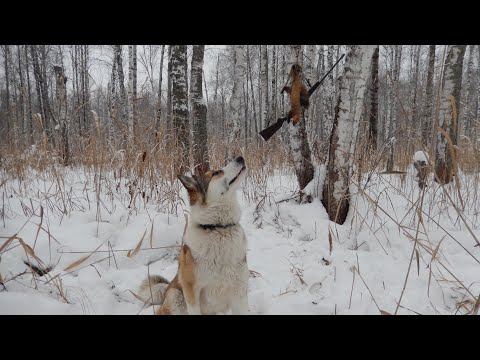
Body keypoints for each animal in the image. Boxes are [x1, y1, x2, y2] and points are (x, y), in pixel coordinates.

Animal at [139, 156, 249, 314]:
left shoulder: (239, 290)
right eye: (216, 173)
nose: (240, 157)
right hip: (176, 296)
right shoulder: (191, 291)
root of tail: (166, 291)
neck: (217, 228)